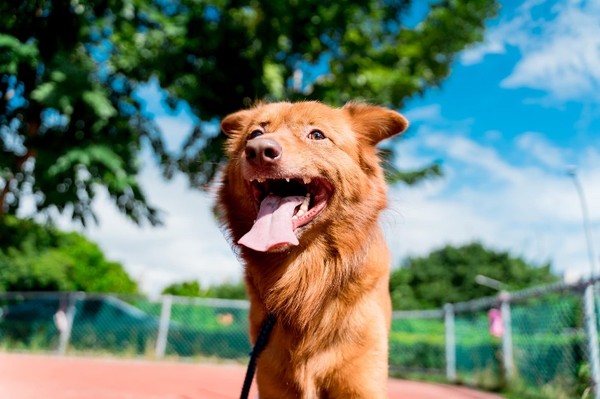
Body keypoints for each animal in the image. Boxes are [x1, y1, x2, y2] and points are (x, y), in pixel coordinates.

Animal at [218, 101, 410, 398]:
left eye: (317, 135)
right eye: (255, 134)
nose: (259, 150)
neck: (305, 277)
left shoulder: (361, 379)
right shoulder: (270, 376)